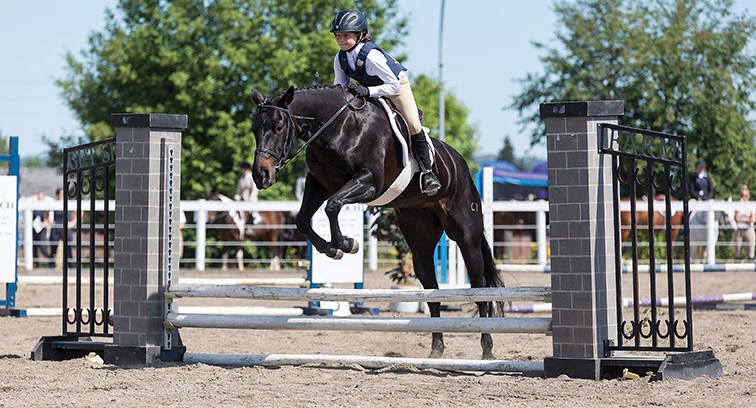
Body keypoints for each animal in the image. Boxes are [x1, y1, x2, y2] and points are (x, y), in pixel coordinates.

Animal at [251, 84, 504, 358]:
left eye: (279, 126)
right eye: (254, 129)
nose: (261, 175)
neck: (337, 126)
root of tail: (460, 163)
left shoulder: (369, 181)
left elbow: (333, 206)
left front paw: (346, 244)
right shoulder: (320, 183)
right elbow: (303, 221)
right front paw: (332, 248)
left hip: (466, 234)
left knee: (479, 287)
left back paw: (487, 349)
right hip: (420, 240)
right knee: (431, 289)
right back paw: (436, 349)